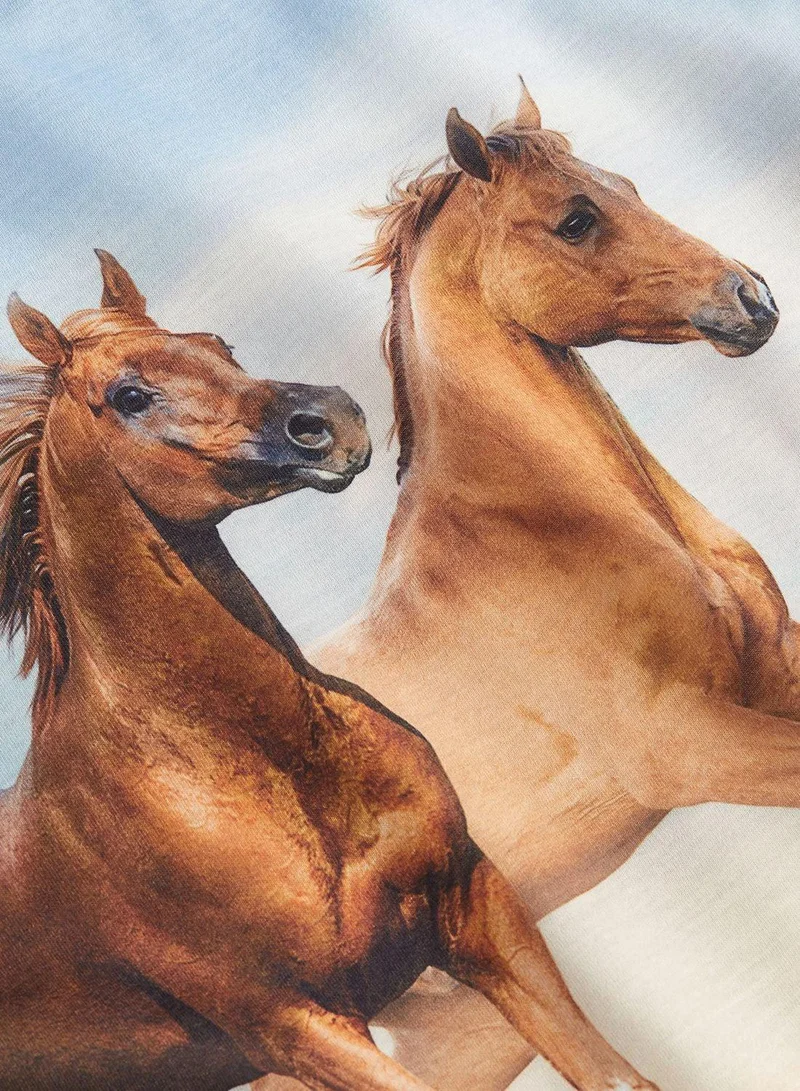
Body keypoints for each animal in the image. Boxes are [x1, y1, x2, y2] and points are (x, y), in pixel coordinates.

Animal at [0, 250, 657, 1091]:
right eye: (129, 396)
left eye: (219, 344)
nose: (327, 420)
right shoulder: (298, 1029)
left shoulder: (474, 903)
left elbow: (616, 1073)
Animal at [306, 81, 797, 1088]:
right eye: (576, 218)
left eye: (628, 185)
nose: (751, 297)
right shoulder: (694, 746)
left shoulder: (776, 680)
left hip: (471, 1026)